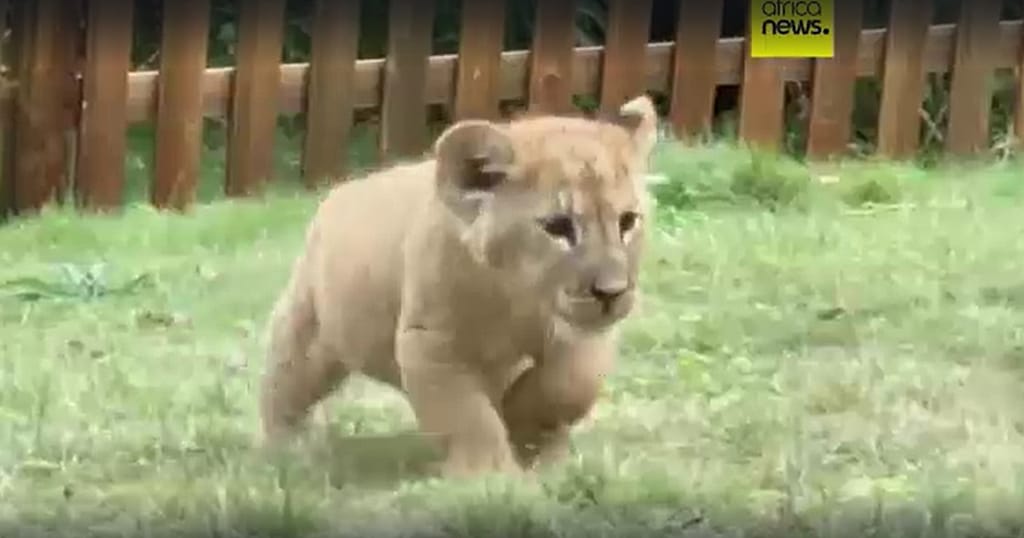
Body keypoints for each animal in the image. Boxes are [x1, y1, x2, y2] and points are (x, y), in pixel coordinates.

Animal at [259, 94, 659, 478]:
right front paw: (488, 476)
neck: (517, 297)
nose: (612, 292)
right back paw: (288, 450)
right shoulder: (431, 341)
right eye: (558, 227)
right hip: (308, 333)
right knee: (284, 385)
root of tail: (337, 193)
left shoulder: (582, 336)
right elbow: (466, 415)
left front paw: (527, 431)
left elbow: (571, 384)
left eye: (627, 222)